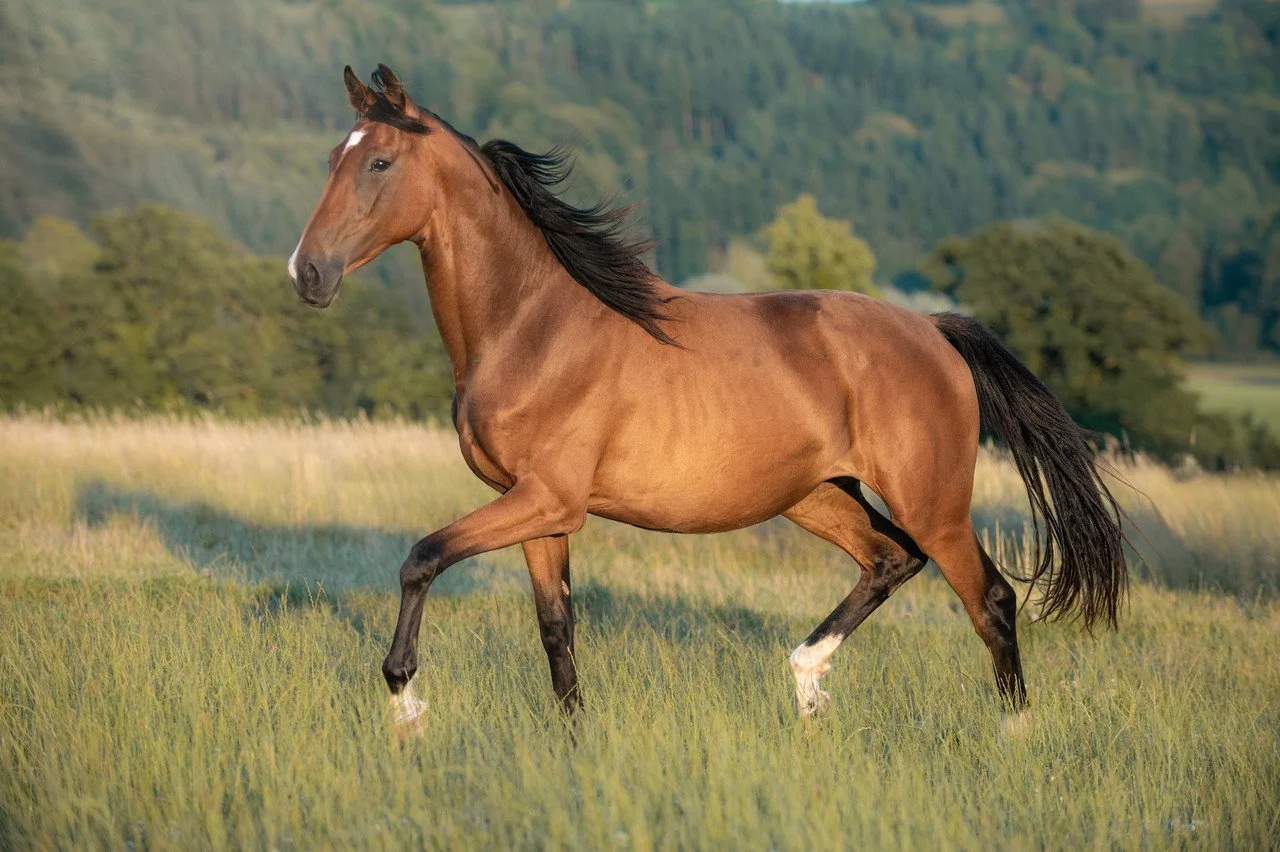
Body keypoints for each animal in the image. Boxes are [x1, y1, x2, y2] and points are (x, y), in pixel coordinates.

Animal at [288, 65, 1126, 733]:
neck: (532, 326)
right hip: (816, 495)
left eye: (380, 162)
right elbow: (557, 628)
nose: (308, 273)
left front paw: (406, 702)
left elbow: (421, 558)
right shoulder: (536, 510)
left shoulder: (546, 499)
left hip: (933, 502)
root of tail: (934, 329)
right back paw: (807, 686)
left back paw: (1013, 737)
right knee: (892, 560)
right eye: (332, 158)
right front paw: (572, 737)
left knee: (990, 600)